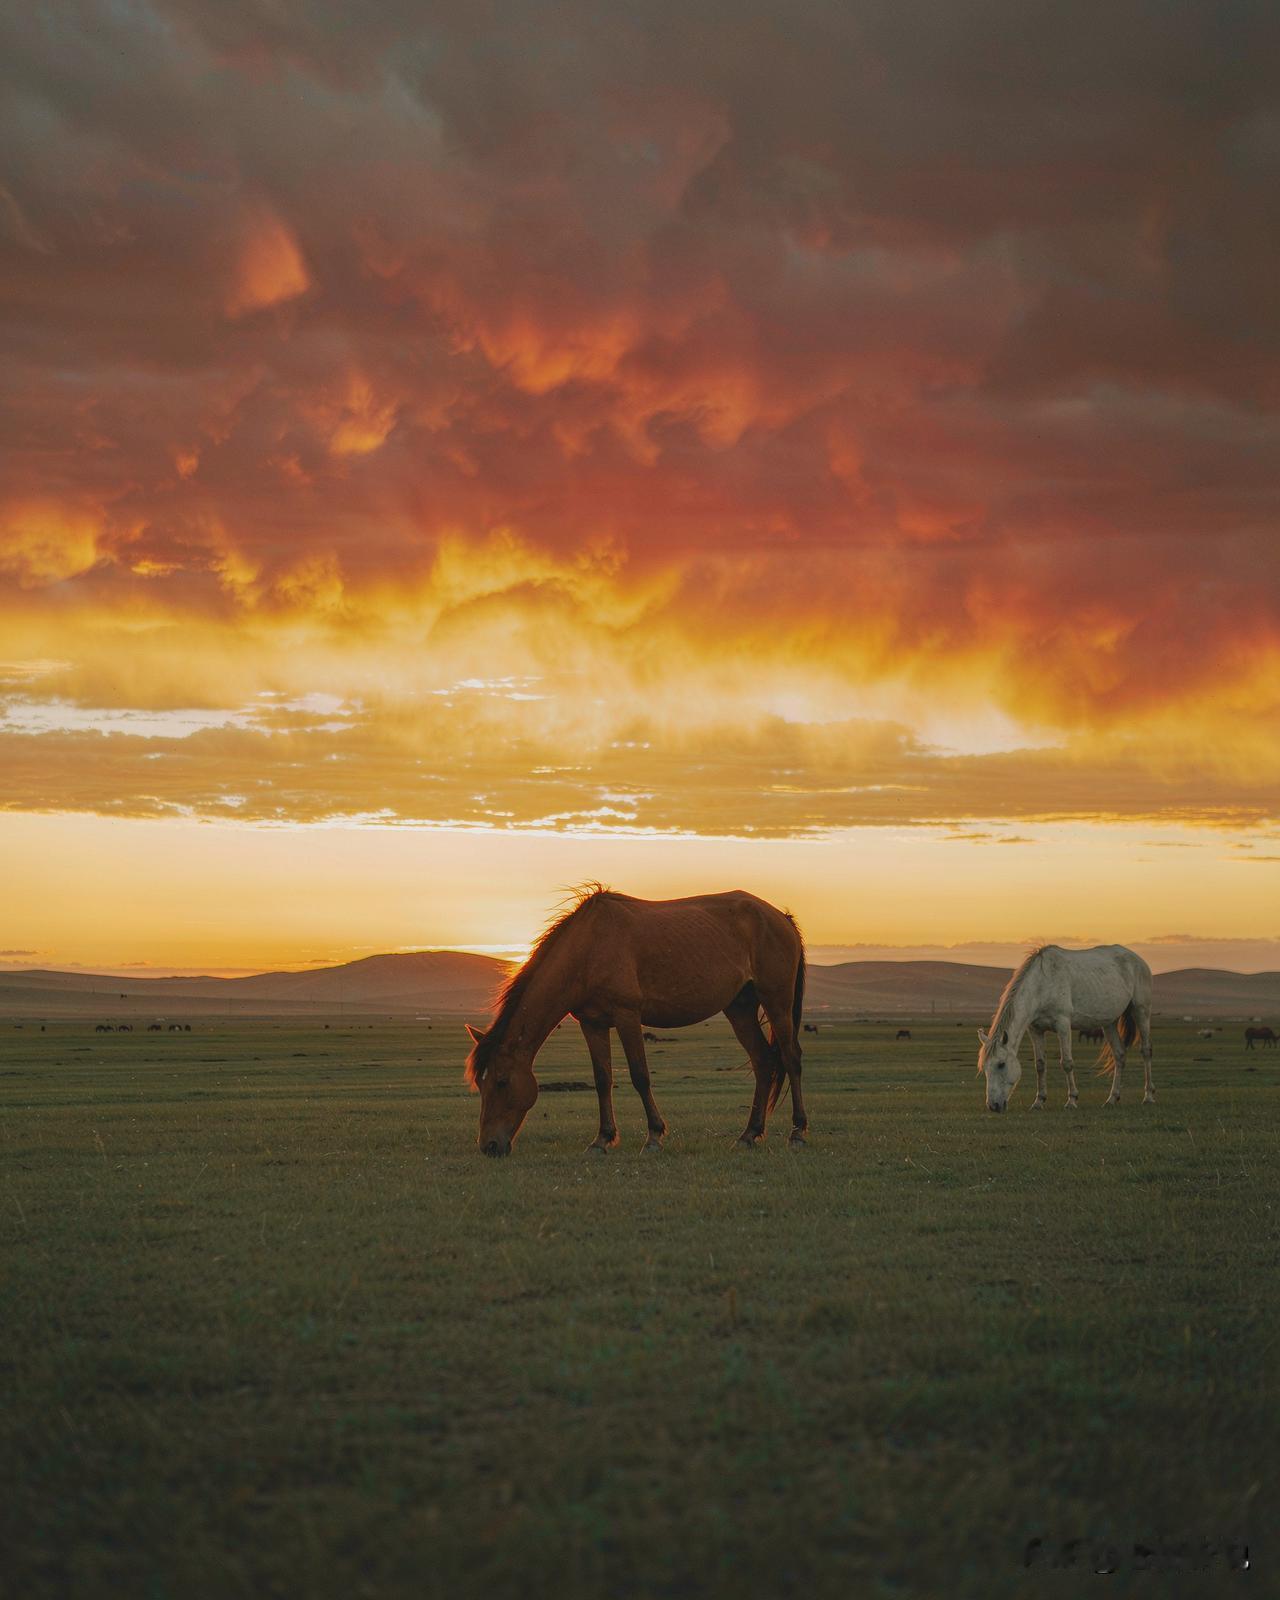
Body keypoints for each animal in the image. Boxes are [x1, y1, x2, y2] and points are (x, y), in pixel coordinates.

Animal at [464, 886, 807, 1156]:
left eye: (501, 1081)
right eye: (482, 1085)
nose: (489, 1146)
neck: (589, 949)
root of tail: (781, 917)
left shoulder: (627, 1015)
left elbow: (640, 1075)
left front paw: (653, 1136)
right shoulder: (592, 1023)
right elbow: (602, 1079)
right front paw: (601, 1140)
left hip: (776, 1001)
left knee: (790, 1059)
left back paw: (797, 1133)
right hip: (740, 1007)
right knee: (763, 1061)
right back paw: (748, 1135)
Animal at [977, 945, 1154, 1112]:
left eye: (1001, 1064)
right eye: (984, 1067)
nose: (993, 1106)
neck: (1041, 985)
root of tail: (1138, 960)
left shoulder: (1062, 1024)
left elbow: (1067, 1063)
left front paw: (1072, 1100)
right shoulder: (1035, 1029)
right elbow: (1040, 1065)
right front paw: (1039, 1101)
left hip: (1141, 1011)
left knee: (1146, 1051)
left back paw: (1148, 1096)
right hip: (1109, 1022)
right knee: (1119, 1055)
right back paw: (1112, 1098)